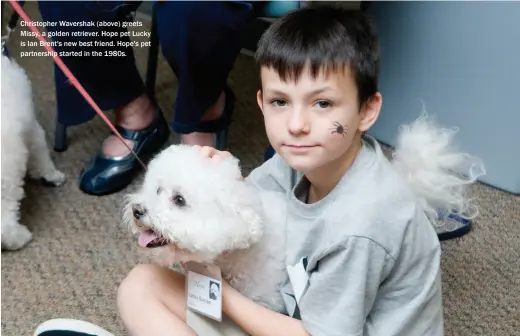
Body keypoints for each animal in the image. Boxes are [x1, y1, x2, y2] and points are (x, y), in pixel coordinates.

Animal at [1, 54, 66, 249]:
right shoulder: (33, 129)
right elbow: (42, 157)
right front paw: (52, 175)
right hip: (7, 185)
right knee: (5, 226)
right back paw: (20, 238)